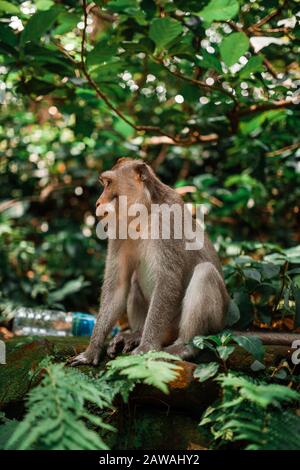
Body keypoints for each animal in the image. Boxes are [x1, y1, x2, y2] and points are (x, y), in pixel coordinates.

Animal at [69, 158, 300, 368]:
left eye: (108, 183)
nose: (98, 203)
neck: (145, 213)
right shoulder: (118, 227)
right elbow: (118, 285)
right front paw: (92, 350)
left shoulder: (168, 221)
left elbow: (168, 282)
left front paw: (146, 347)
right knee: (134, 281)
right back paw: (135, 334)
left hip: (201, 323)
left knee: (205, 273)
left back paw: (182, 346)